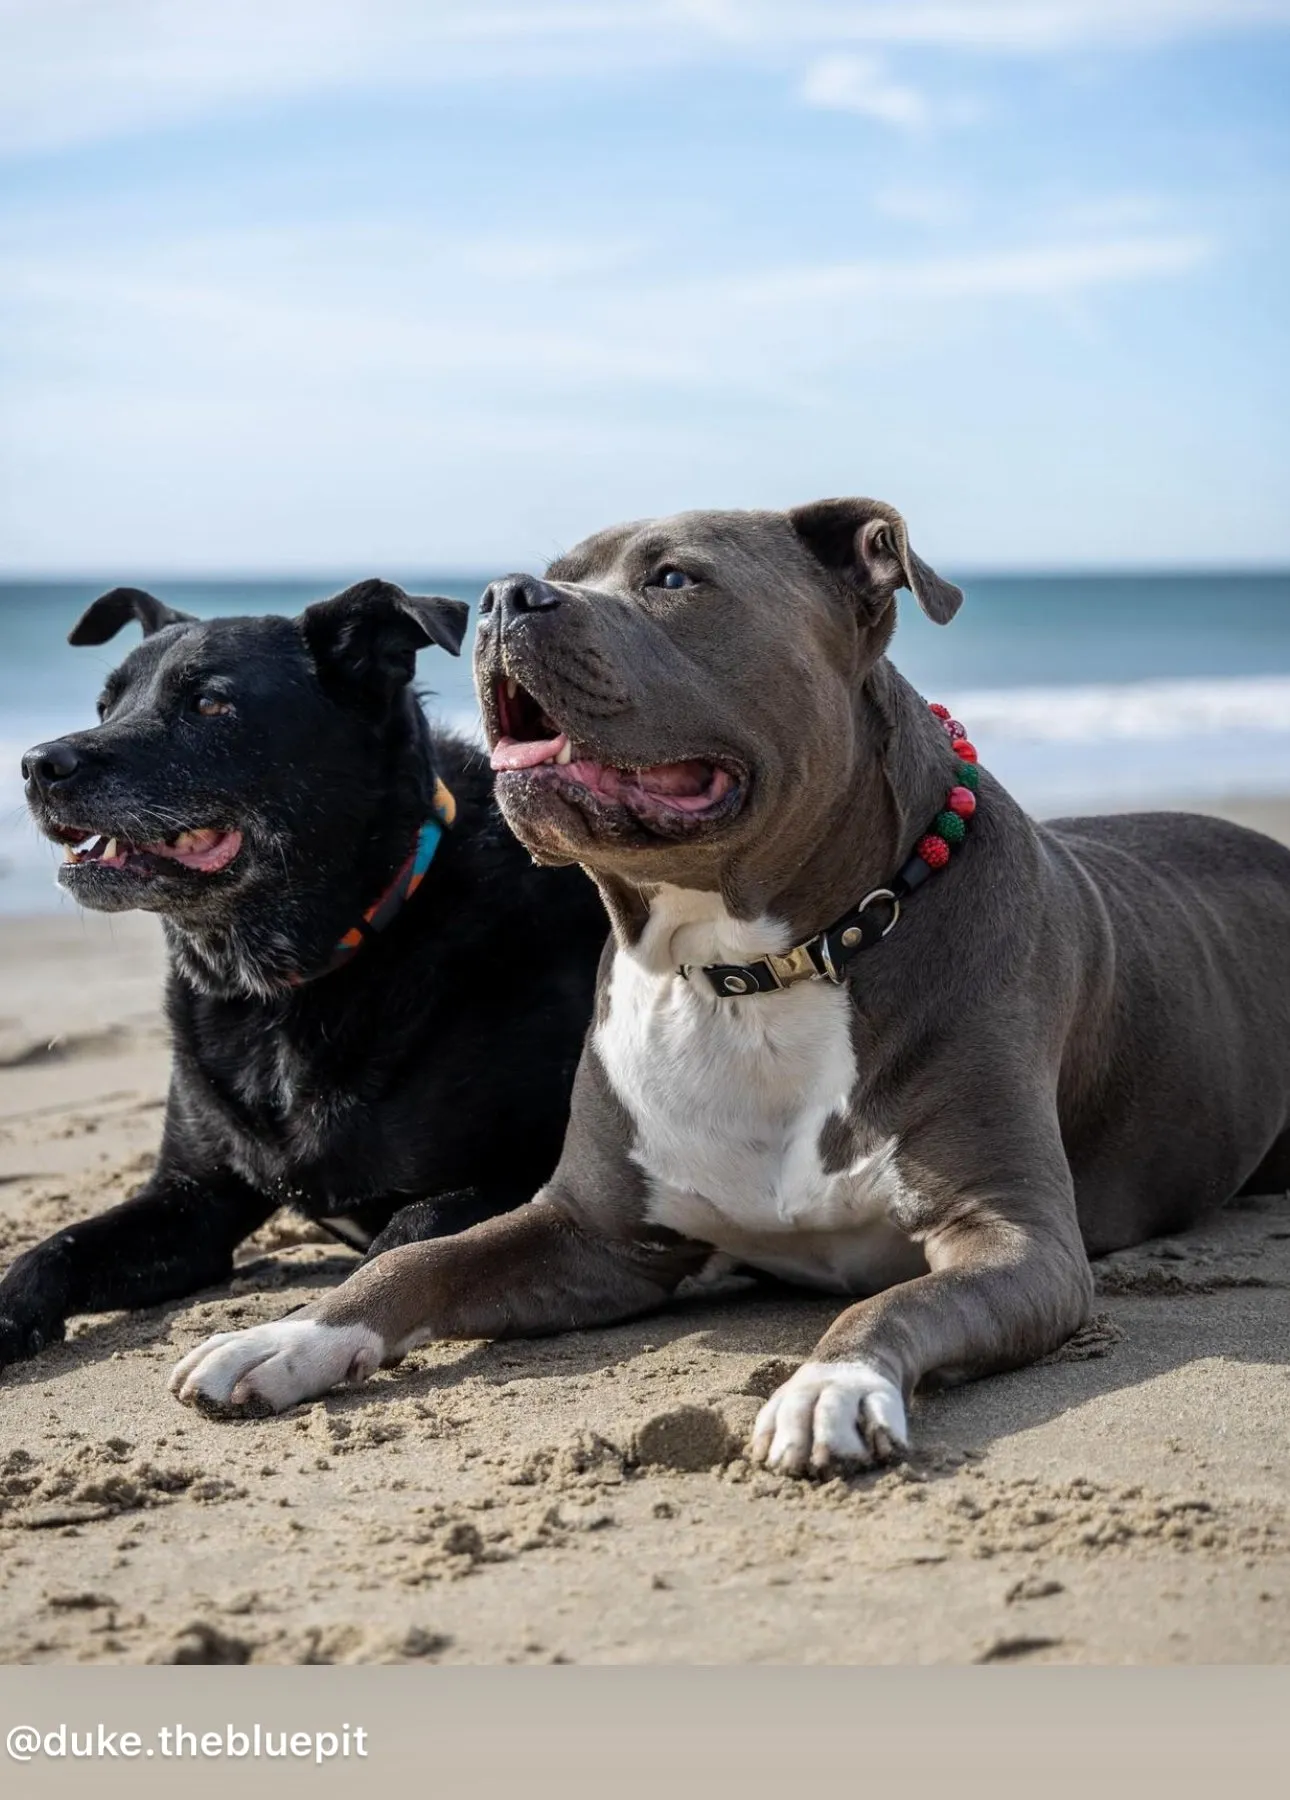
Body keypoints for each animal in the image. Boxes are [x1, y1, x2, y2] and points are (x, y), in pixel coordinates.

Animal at [0, 583, 608, 1368]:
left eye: (210, 704)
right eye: (106, 705)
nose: (37, 764)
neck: (278, 985)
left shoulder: (531, 1174)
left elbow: (409, 1235)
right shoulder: (191, 1198)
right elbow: (55, 1249)